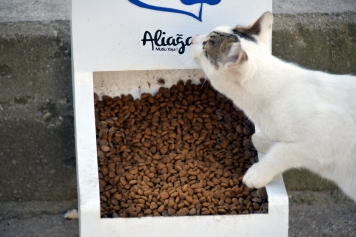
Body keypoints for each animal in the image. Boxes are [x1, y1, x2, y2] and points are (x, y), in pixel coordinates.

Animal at [191, 11, 356, 202]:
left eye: (205, 45)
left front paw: (258, 173)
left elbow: (283, 151)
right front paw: (263, 140)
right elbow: (269, 141)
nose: (192, 38)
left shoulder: (331, 137)